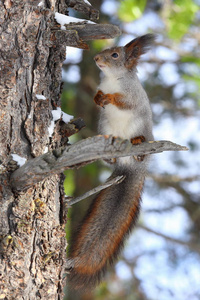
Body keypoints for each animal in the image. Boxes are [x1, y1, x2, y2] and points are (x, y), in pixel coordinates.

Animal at [67, 34, 155, 292]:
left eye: (115, 55)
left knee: (140, 143)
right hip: (105, 127)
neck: (112, 79)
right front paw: (98, 97)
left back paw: (138, 146)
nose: (96, 58)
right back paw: (111, 154)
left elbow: (124, 102)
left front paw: (109, 98)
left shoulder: (133, 95)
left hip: (141, 129)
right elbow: (98, 96)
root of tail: (131, 166)